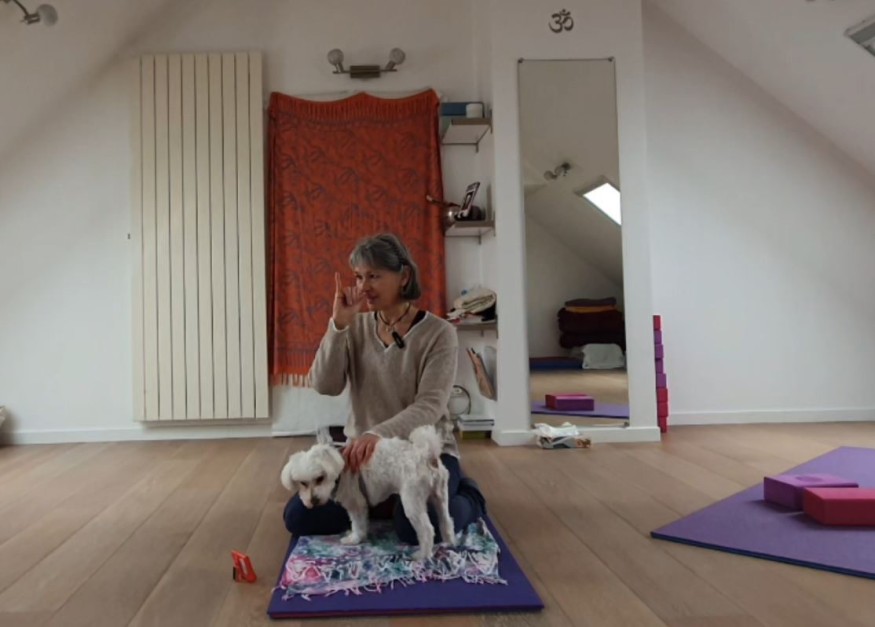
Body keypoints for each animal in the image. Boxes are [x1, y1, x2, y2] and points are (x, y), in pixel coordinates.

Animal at [280, 425, 455, 561]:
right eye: (302, 483)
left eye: (320, 478)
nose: (313, 501)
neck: (340, 468)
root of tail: (426, 454)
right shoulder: (361, 505)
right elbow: (363, 524)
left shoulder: (356, 504)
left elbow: (357, 524)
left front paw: (353, 539)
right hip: (441, 496)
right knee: (447, 521)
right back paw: (449, 542)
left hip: (412, 501)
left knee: (427, 530)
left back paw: (423, 555)